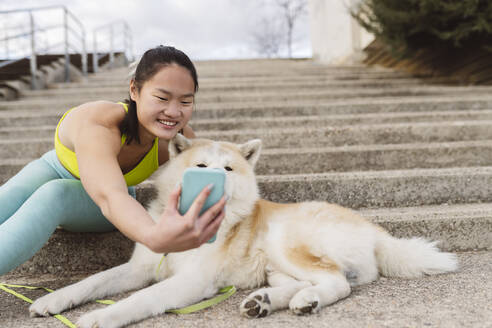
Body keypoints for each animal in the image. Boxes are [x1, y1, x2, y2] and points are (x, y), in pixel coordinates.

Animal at [28, 135, 458, 326]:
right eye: (201, 166)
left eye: (229, 169)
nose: (216, 178)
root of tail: (374, 230)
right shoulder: (141, 268)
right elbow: (92, 282)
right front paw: (53, 301)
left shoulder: (193, 281)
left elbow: (140, 299)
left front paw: (99, 318)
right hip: (274, 265)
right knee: (304, 282)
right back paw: (265, 301)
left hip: (285, 241)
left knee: (337, 282)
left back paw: (305, 302)